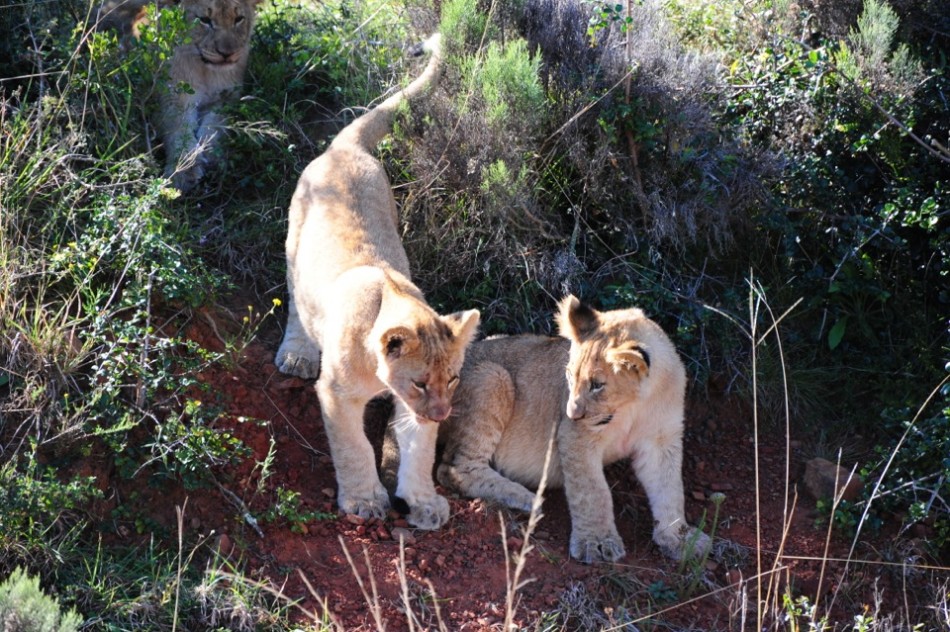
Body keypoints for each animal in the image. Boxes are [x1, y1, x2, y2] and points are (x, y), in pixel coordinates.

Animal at [93, 0, 261, 191]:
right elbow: (178, 127)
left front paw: (212, 155)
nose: (227, 54)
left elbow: (216, 125)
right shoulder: (171, 96)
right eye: (204, 20)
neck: (206, 71)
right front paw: (183, 169)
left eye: (238, 19)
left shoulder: (227, 97)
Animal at [275, 34, 480, 530]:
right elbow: (353, 448)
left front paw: (424, 503)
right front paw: (365, 500)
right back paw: (296, 352)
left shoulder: (412, 410)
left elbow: (418, 451)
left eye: (453, 378)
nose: (443, 413)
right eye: (420, 382)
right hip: (294, 239)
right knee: (294, 298)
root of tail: (345, 149)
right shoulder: (337, 394)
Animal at [435, 295, 711, 563]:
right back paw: (525, 498)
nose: (572, 414)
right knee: (454, 469)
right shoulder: (575, 435)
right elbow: (592, 491)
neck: (634, 406)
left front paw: (681, 539)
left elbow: (670, 490)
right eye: (569, 375)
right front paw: (596, 543)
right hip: (494, 376)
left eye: (598, 385)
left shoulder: (662, 440)